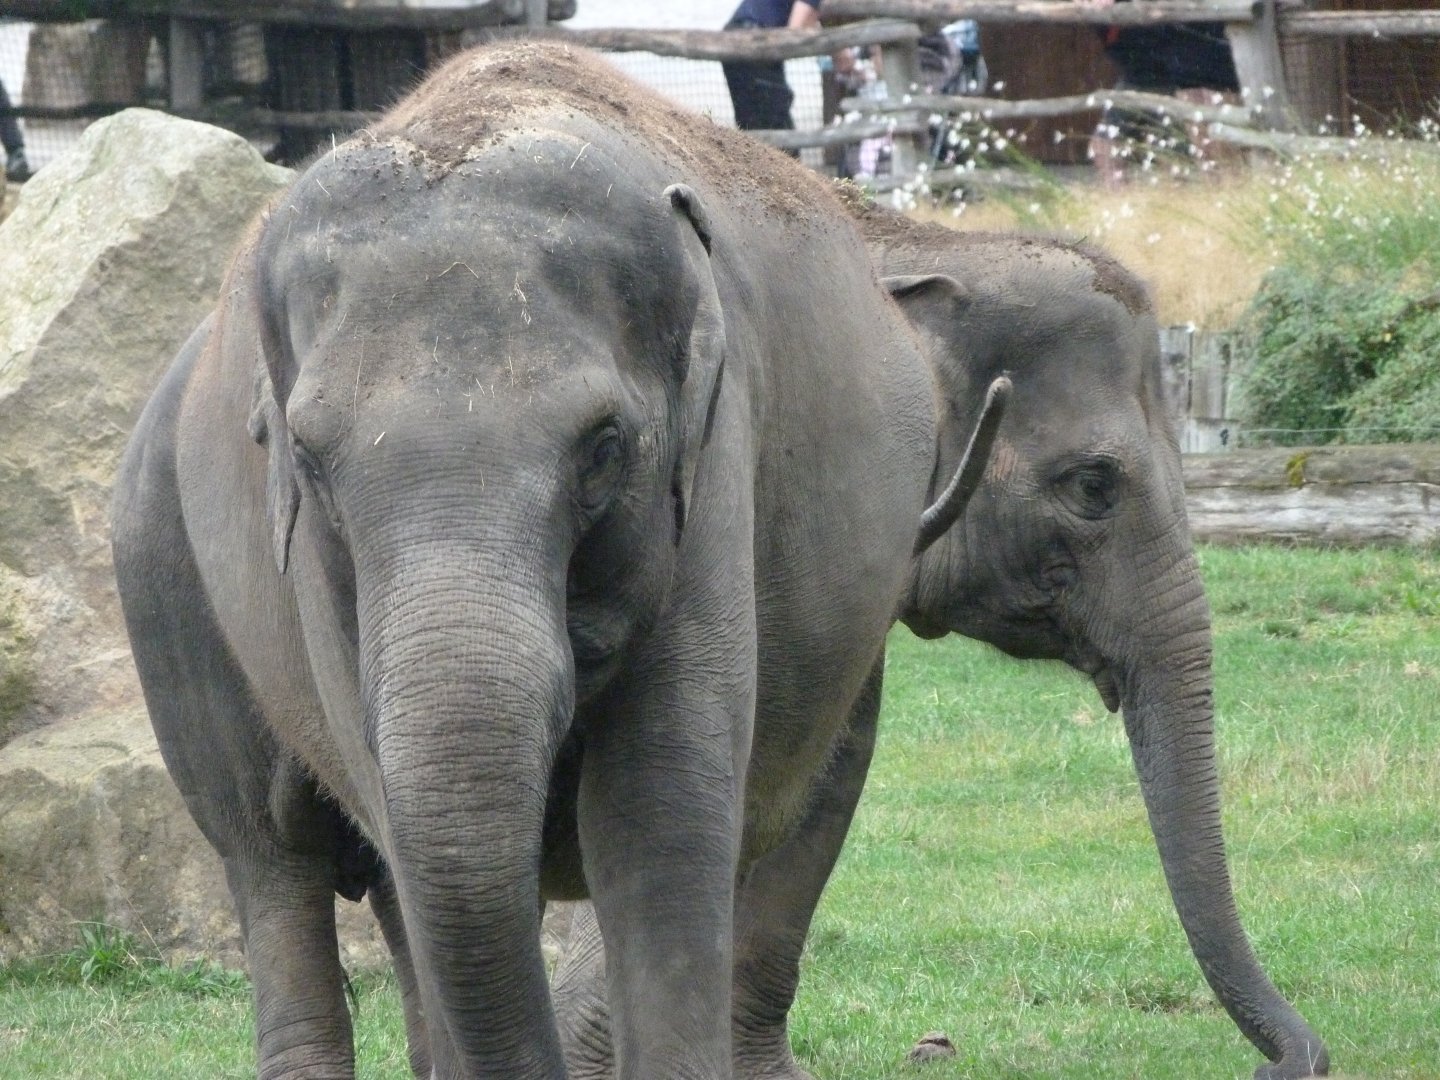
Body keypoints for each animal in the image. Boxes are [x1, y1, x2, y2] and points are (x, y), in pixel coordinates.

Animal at [110, 41, 1006, 1080]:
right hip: (162, 581)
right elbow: (401, 811)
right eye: (306, 456)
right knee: (271, 860)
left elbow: (655, 811)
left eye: (604, 446)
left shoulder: (713, 469)